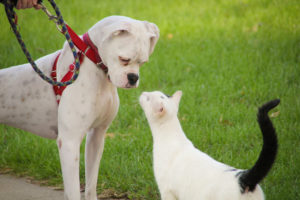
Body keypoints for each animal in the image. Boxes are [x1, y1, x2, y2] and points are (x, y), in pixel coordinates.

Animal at [0, 16, 159, 200]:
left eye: (142, 62)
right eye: (124, 59)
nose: (133, 78)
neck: (95, 66)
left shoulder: (97, 136)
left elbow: (91, 184)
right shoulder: (69, 142)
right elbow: (73, 190)